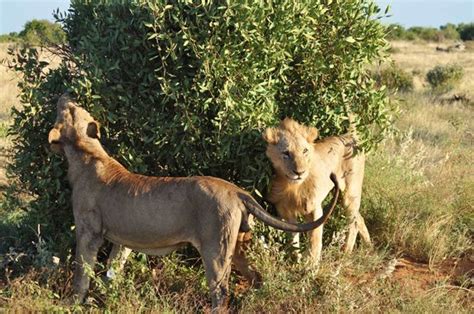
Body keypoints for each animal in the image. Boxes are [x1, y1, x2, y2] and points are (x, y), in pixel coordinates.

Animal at [47, 95, 340, 312]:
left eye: (70, 109)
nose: (65, 96)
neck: (88, 152)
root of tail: (237, 191)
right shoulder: (122, 240)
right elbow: (113, 268)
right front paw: (109, 296)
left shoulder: (89, 231)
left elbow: (82, 271)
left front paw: (71, 303)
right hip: (238, 245)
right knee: (255, 277)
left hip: (215, 248)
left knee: (220, 293)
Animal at [262, 117, 370, 262]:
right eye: (286, 153)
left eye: (305, 151)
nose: (299, 172)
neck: (293, 186)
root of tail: (349, 135)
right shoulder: (284, 210)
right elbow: (292, 238)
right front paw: (296, 259)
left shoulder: (314, 207)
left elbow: (315, 239)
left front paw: (311, 264)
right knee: (360, 218)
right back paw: (368, 245)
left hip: (350, 194)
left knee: (353, 222)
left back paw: (346, 252)